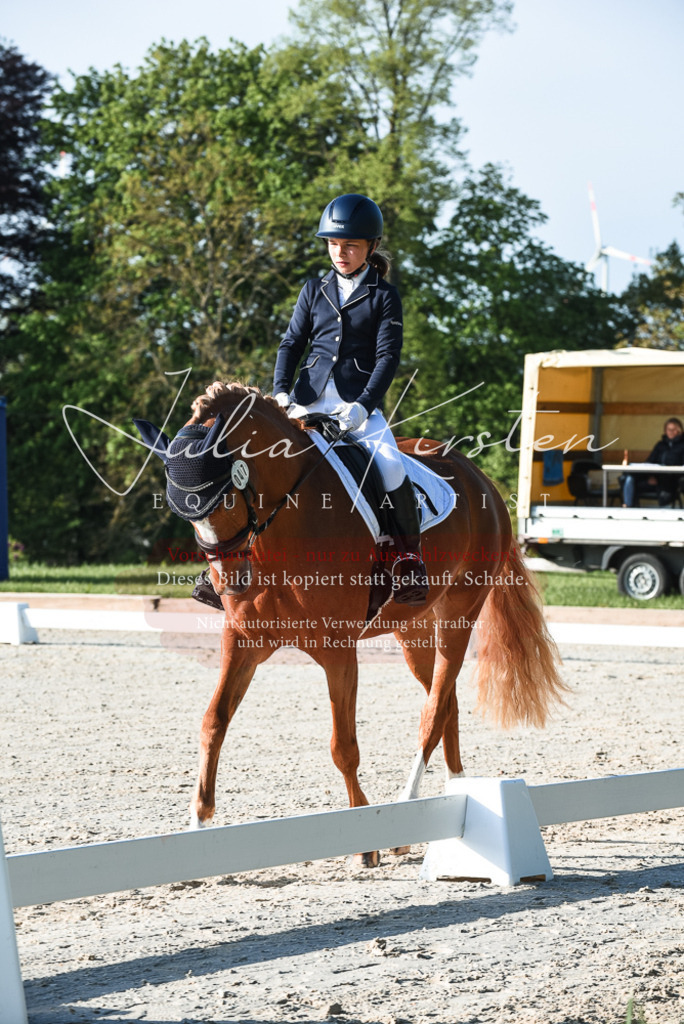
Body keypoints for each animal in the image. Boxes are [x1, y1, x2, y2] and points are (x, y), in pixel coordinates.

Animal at [135, 381, 566, 866]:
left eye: (227, 495)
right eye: (181, 511)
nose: (230, 582)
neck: (286, 524)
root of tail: (479, 478)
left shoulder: (338, 650)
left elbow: (343, 747)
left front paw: (364, 840)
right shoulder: (243, 641)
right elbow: (213, 723)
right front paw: (196, 829)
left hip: (460, 613)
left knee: (434, 710)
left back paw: (405, 810)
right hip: (413, 629)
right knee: (446, 702)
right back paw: (457, 793)